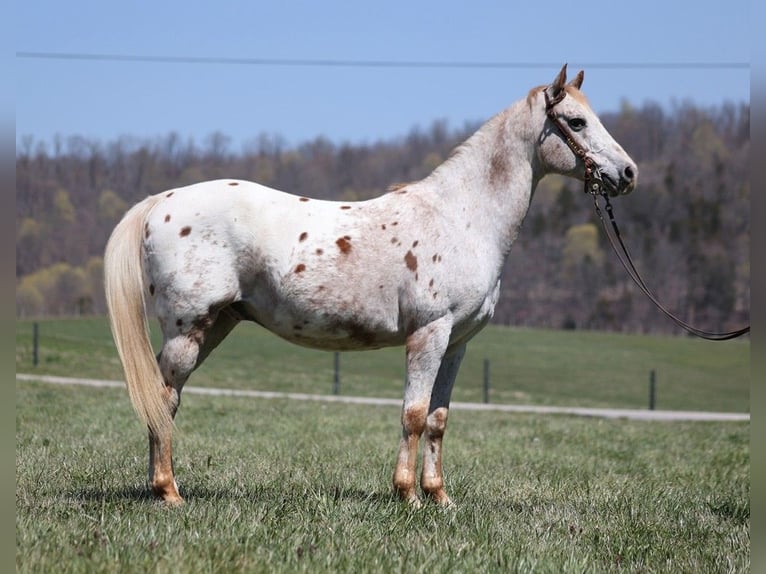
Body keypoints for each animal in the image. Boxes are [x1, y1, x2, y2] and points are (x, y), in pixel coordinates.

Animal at [105, 64, 640, 508]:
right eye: (576, 122)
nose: (628, 173)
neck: (461, 217)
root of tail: (163, 201)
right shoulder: (428, 334)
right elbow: (413, 415)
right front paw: (408, 497)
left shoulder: (458, 343)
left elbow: (439, 419)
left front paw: (439, 498)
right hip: (188, 328)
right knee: (163, 398)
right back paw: (168, 492)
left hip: (216, 326)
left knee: (166, 398)